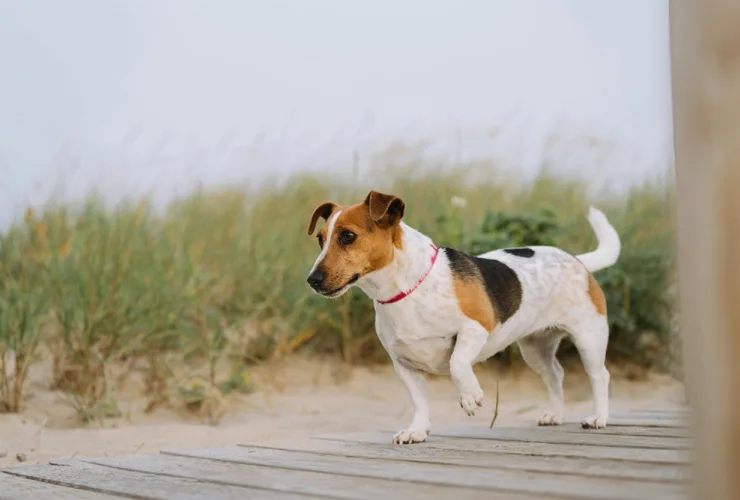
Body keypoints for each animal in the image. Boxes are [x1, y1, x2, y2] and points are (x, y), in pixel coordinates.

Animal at [304, 191, 620, 446]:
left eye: (347, 236)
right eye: (320, 239)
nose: (312, 280)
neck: (406, 290)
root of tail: (578, 261)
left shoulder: (475, 328)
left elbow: (458, 363)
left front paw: (470, 396)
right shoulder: (404, 364)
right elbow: (419, 402)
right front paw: (416, 430)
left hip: (588, 339)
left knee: (599, 376)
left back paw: (598, 418)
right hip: (535, 348)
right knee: (555, 375)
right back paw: (555, 414)